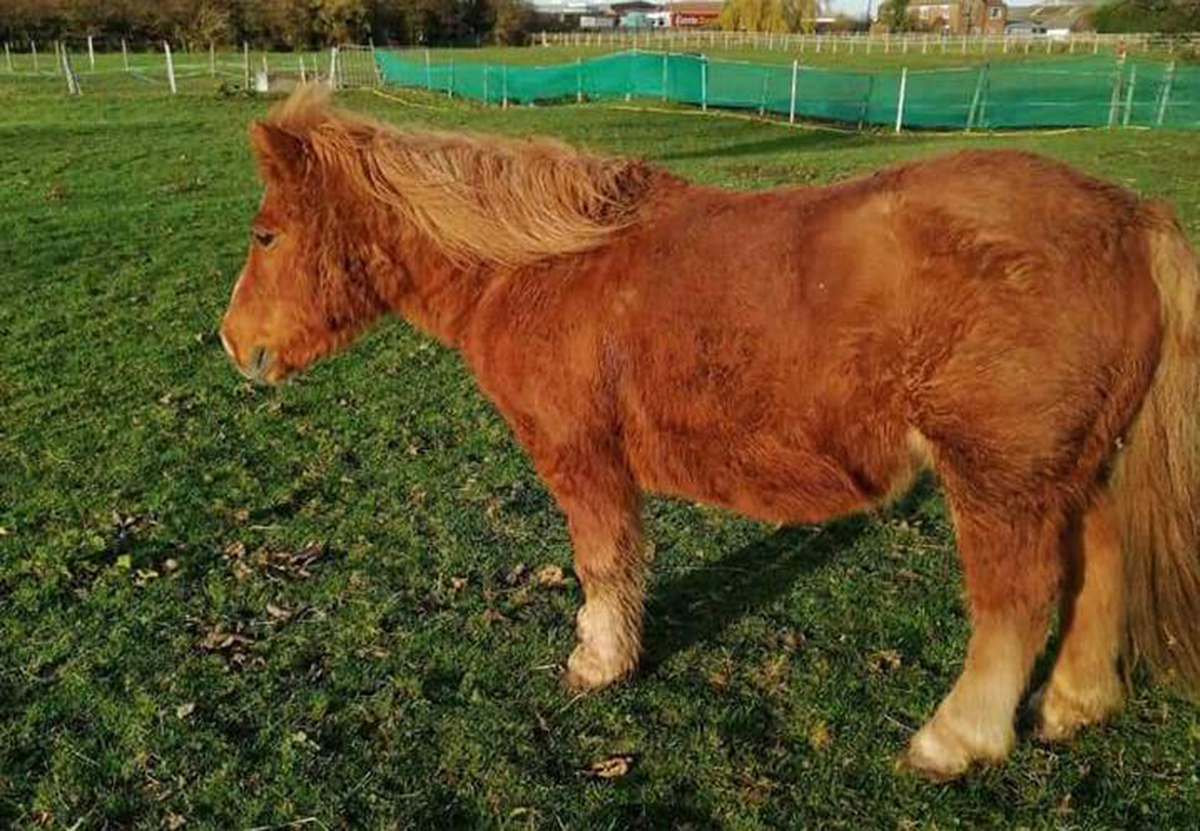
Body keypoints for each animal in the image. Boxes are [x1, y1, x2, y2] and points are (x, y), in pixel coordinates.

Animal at [219, 86, 1200, 780]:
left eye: (265, 234)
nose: (233, 344)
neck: (539, 266)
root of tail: (1133, 219)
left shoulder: (582, 459)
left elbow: (603, 561)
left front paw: (599, 659)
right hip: (1080, 469)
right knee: (1102, 568)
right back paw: (1071, 705)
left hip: (1001, 478)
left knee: (1020, 598)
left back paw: (955, 737)